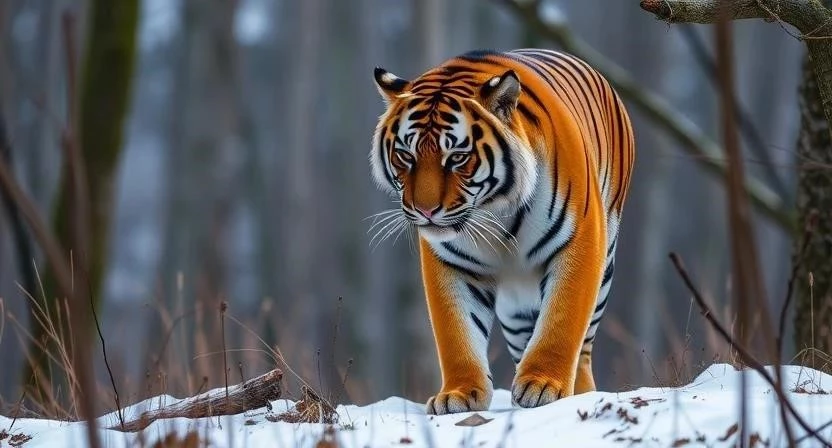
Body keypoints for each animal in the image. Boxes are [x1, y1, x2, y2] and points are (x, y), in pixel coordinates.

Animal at [369, 49, 634, 415]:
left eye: (458, 157)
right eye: (405, 156)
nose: (425, 211)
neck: (495, 212)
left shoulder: (580, 243)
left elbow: (561, 322)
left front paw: (544, 386)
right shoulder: (450, 262)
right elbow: (456, 331)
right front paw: (458, 395)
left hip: (604, 265)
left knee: (582, 343)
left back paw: (578, 391)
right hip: (516, 305)